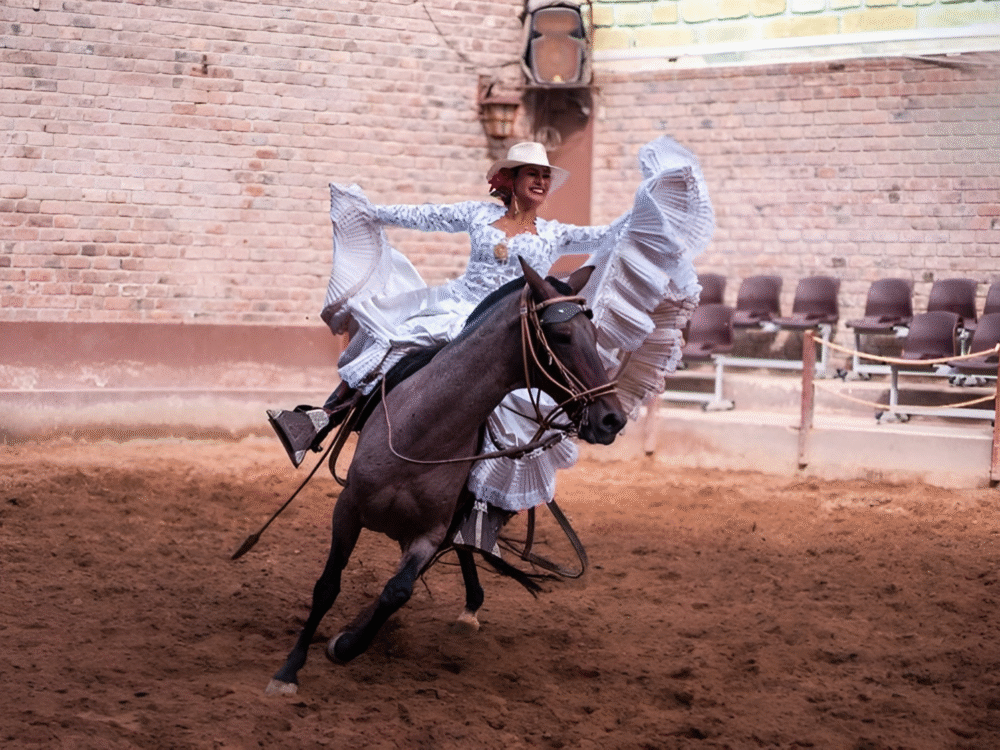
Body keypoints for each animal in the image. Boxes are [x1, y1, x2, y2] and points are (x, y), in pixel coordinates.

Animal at [265, 258, 627, 695]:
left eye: (595, 334)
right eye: (561, 335)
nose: (613, 419)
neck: (422, 431)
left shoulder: (430, 532)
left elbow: (397, 591)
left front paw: (346, 643)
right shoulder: (347, 509)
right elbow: (327, 586)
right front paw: (288, 671)